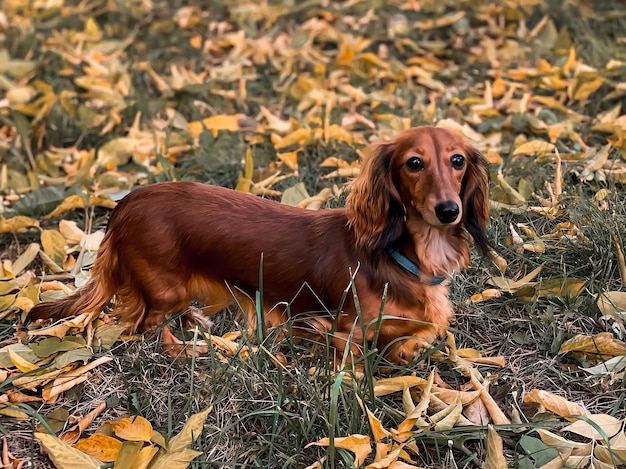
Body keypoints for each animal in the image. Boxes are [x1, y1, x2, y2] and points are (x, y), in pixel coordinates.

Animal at [28, 126, 488, 364]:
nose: (448, 210)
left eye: (457, 160)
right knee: (148, 325)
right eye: (414, 163)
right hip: (164, 286)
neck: (401, 254)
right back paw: (185, 350)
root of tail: (123, 207)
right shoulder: (346, 331)